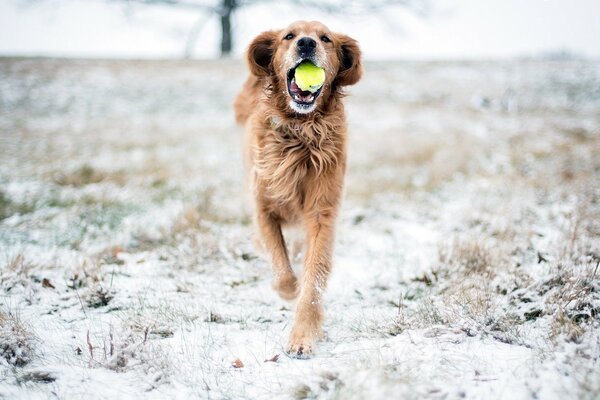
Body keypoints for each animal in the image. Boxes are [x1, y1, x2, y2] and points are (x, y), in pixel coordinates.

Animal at [234, 20, 360, 358]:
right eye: (288, 36)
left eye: (326, 38)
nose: (306, 43)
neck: (301, 131)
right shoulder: (263, 207)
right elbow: (280, 265)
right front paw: (288, 289)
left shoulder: (322, 212)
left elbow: (313, 276)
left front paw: (303, 336)